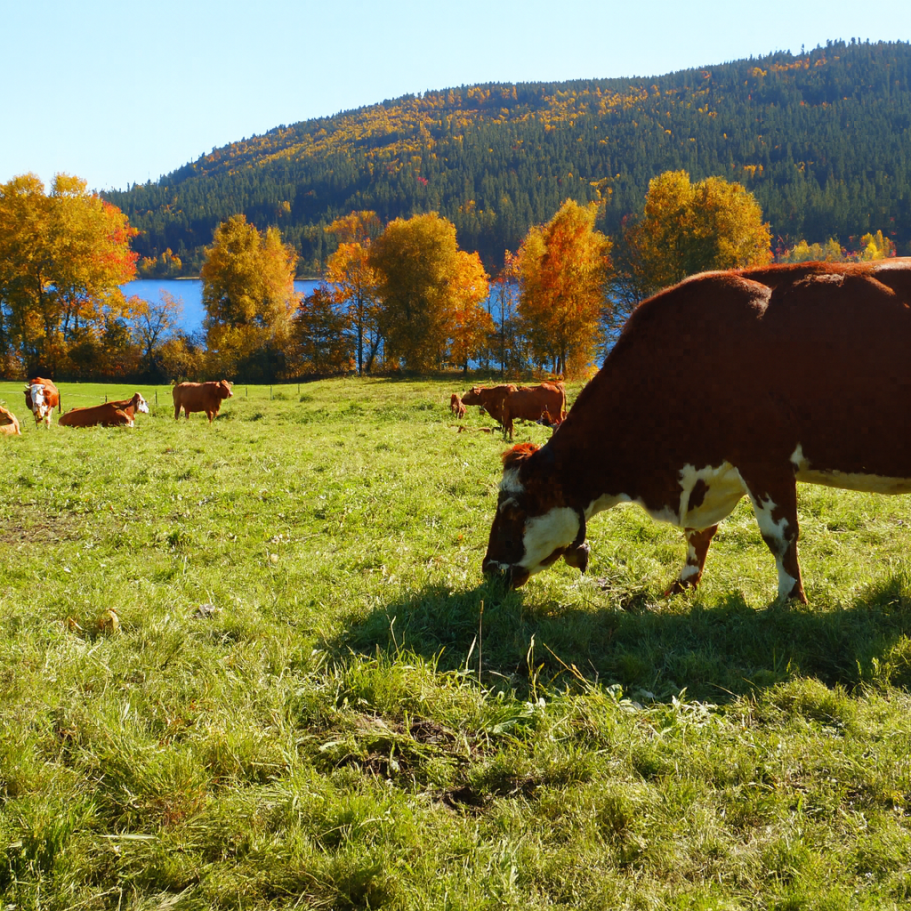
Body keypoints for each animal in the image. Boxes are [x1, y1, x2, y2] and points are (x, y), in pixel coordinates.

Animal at [482, 260, 911, 603]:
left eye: (514, 509)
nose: (487, 568)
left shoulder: (765, 461)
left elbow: (780, 535)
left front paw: (791, 598)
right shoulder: (710, 473)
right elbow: (698, 535)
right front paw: (683, 585)